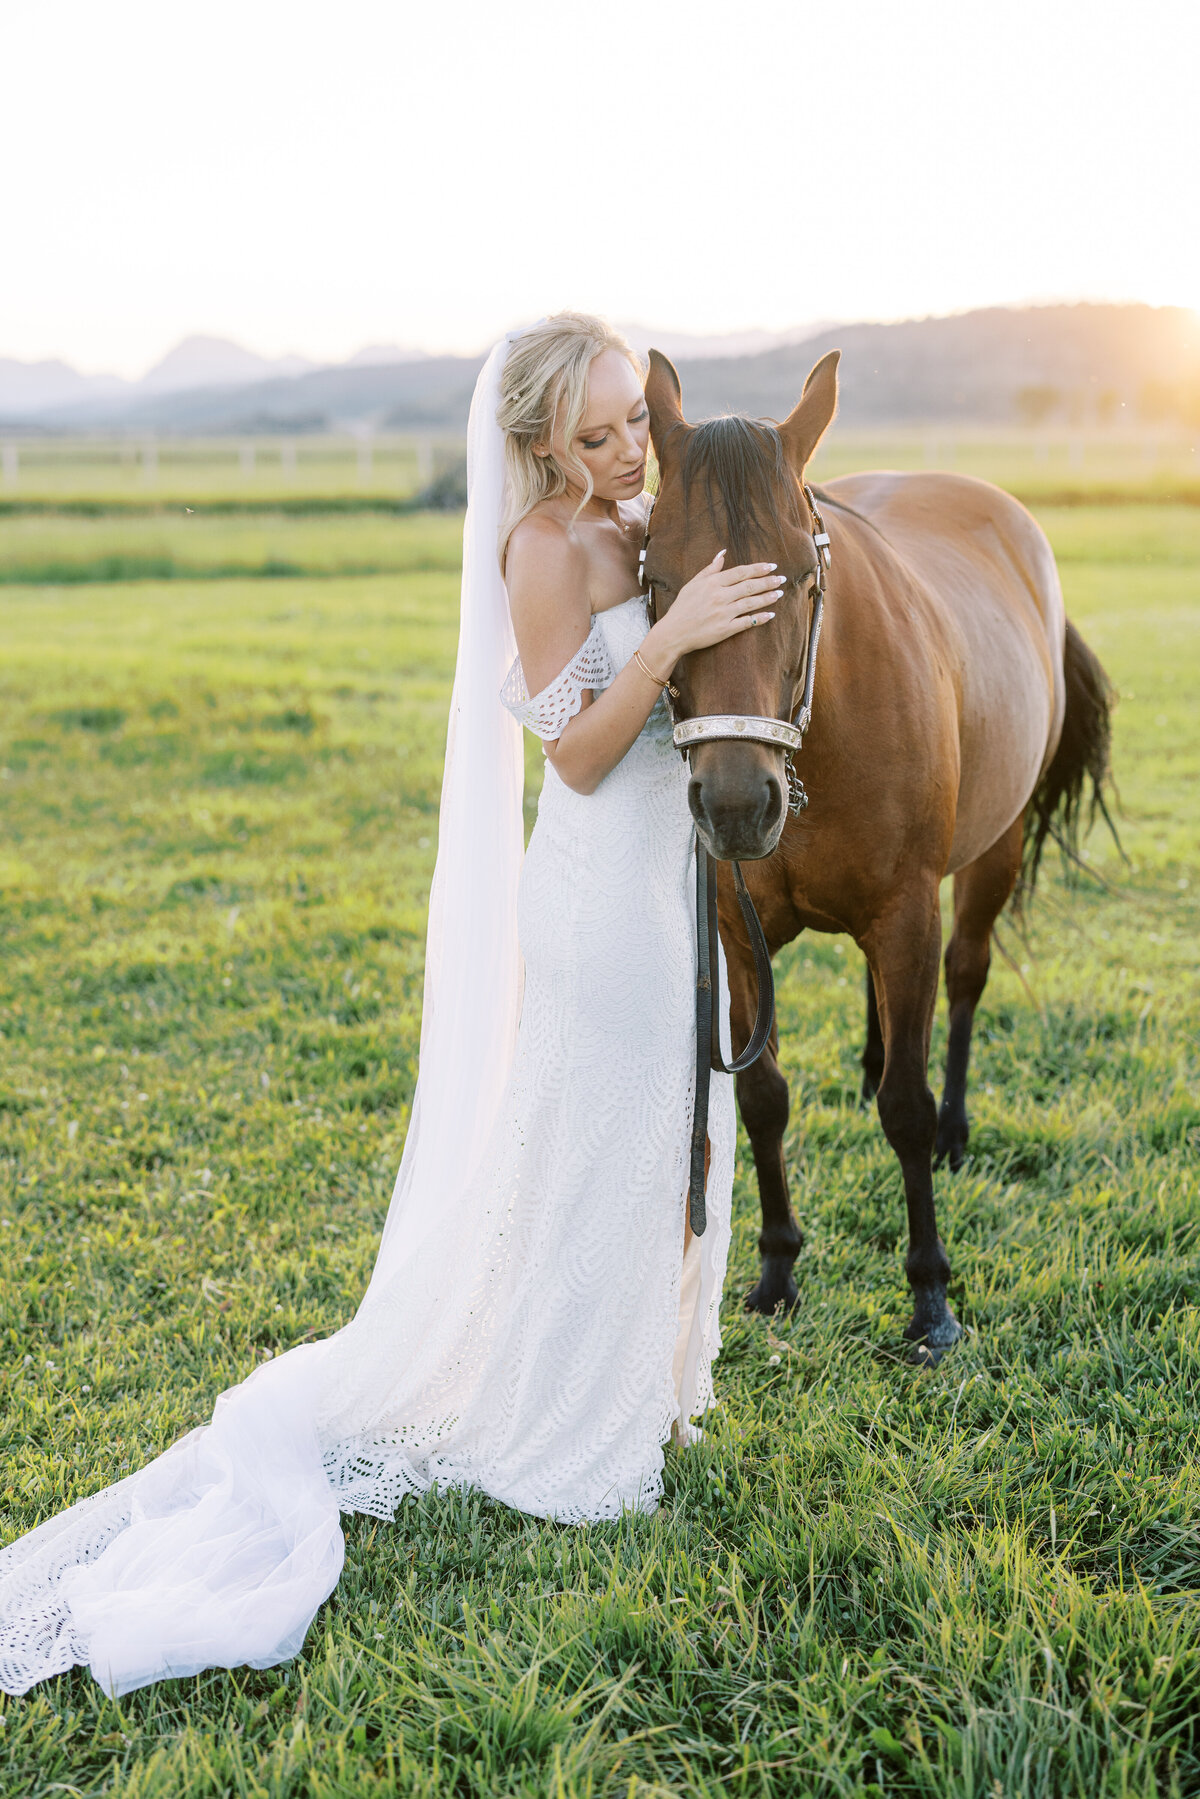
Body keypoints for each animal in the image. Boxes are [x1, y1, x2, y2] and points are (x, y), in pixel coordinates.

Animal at [644, 347, 1115, 1360]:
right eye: (657, 579)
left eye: (800, 577)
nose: (735, 802)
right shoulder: (738, 938)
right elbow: (764, 1095)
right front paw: (778, 1269)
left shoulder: (906, 914)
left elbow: (908, 1104)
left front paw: (931, 1294)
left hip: (991, 854)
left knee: (966, 978)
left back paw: (956, 1125)